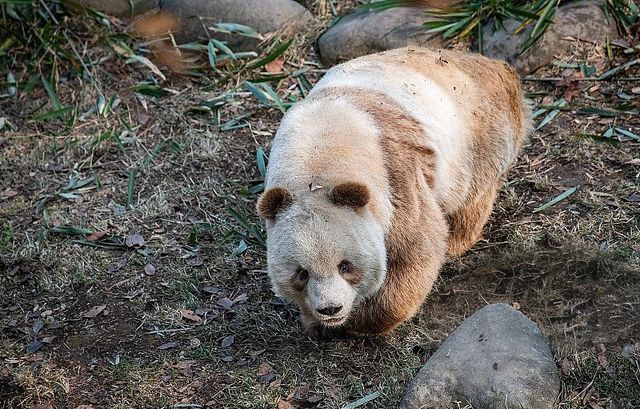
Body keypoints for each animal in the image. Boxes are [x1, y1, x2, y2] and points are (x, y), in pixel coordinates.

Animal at [255, 47, 528, 334]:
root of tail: (495, 66)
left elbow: (416, 246)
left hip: (478, 135)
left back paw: (457, 240)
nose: (331, 309)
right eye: (302, 273)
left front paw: (361, 320)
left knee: (473, 194)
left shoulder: (396, 172)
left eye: (345, 266)